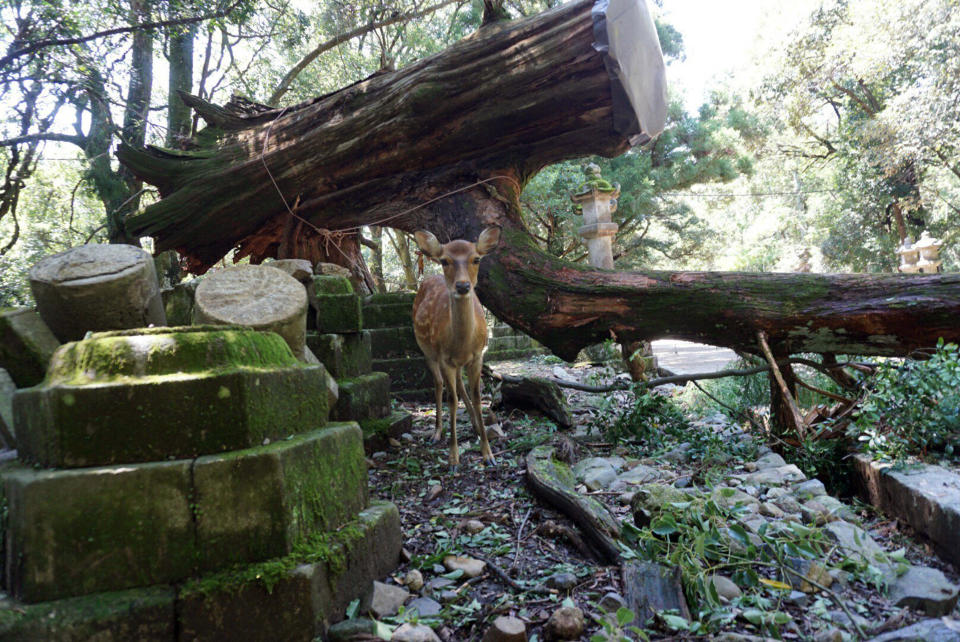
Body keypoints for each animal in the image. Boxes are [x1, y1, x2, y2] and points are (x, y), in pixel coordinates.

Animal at [412, 228, 502, 468]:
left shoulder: (478, 356)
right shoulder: (444, 358)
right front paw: (453, 458)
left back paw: (474, 425)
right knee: (439, 384)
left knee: (460, 385)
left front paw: (488, 454)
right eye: (445, 260)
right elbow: (451, 401)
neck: (462, 343)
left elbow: (478, 398)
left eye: (476, 259)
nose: (462, 286)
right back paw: (436, 432)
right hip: (427, 350)